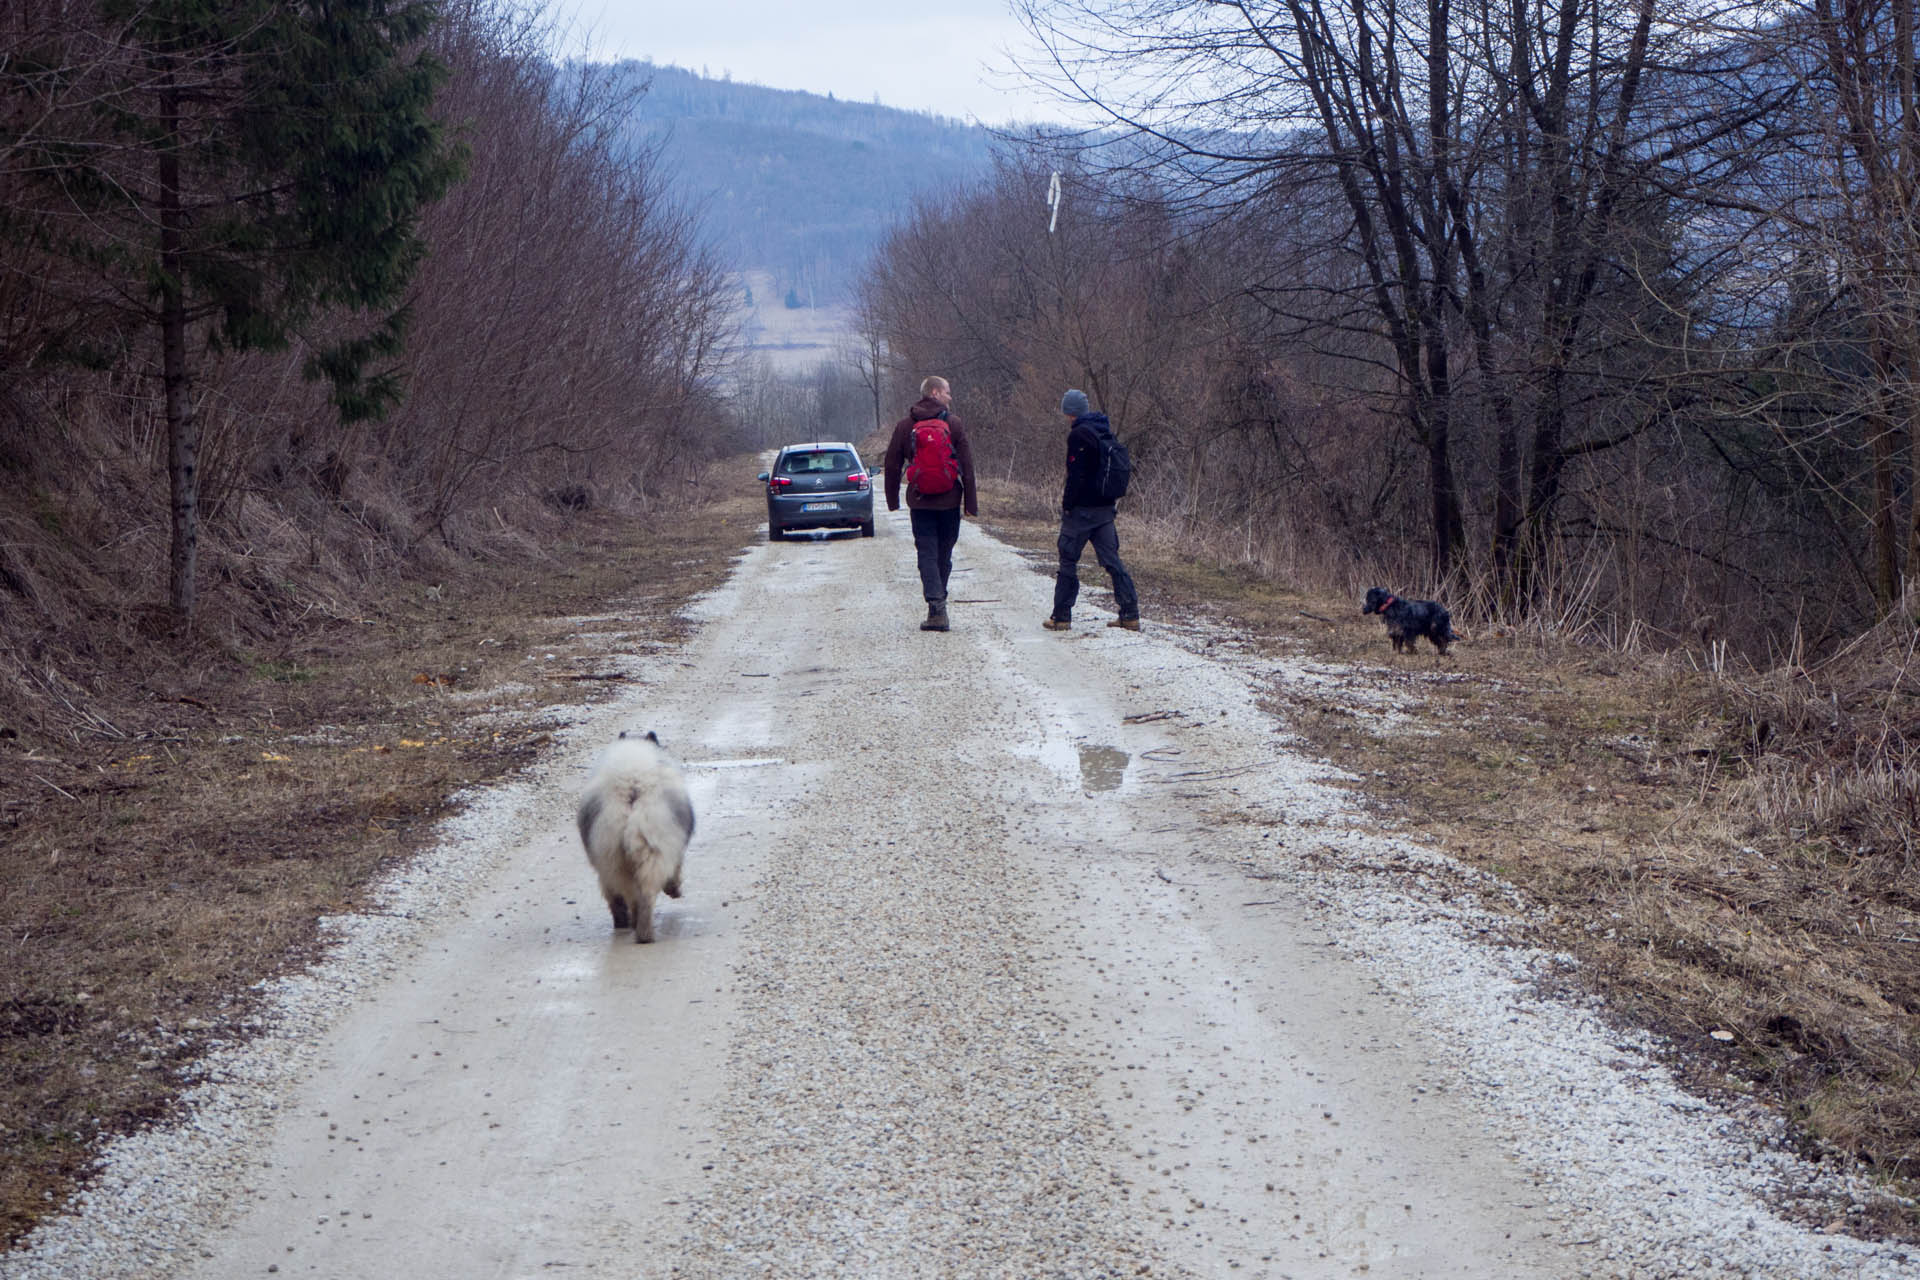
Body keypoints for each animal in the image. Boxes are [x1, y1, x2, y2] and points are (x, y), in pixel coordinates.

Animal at [576, 729, 698, 940]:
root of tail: (632, 788)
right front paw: (674, 889)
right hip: (651, 848)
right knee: (641, 893)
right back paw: (642, 931)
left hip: (612, 856)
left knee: (625, 893)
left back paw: (632, 926)